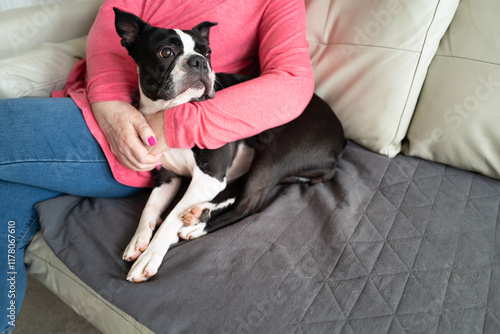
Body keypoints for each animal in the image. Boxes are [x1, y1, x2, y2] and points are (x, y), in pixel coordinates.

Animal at [114, 7, 346, 282]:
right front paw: (139, 240)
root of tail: (341, 140)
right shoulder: (167, 177)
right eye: (166, 52)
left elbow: (170, 218)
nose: (199, 61)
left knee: (248, 204)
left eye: (208, 53)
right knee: (238, 190)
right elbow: (149, 207)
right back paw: (199, 211)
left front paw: (150, 255)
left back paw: (198, 226)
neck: (171, 109)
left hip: (275, 152)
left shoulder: (210, 176)